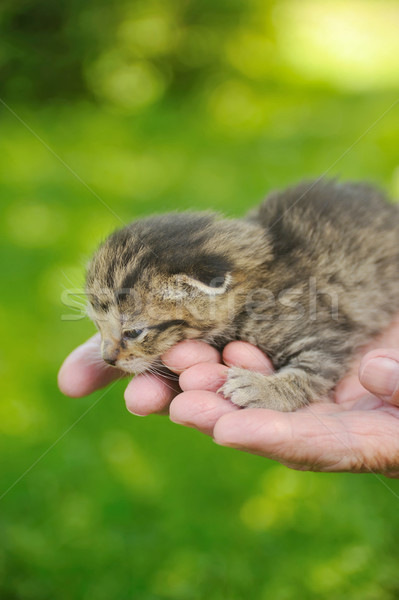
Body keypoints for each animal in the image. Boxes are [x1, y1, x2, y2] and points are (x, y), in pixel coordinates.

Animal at [86, 179, 399, 412]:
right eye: (97, 325)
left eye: (133, 332)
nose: (107, 359)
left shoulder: (326, 336)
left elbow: (309, 373)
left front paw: (262, 389)